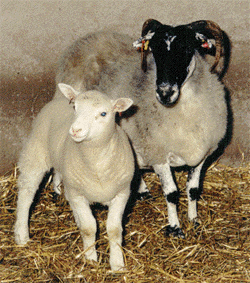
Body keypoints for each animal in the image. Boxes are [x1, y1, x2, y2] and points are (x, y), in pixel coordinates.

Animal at [13, 83, 135, 272]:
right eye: (75, 107)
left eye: (103, 113)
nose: (76, 130)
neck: (97, 165)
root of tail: (59, 100)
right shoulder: (78, 194)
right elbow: (89, 228)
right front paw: (91, 259)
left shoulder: (122, 193)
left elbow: (114, 229)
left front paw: (117, 264)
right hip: (36, 151)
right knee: (26, 192)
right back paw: (22, 234)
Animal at [53, 19, 231, 237]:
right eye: (154, 50)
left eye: (187, 48)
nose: (164, 92)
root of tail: (87, 38)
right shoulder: (158, 153)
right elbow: (172, 193)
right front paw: (175, 228)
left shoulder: (201, 155)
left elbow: (193, 190)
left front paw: (194, 220)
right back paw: (57, 190)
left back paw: (142, 190)